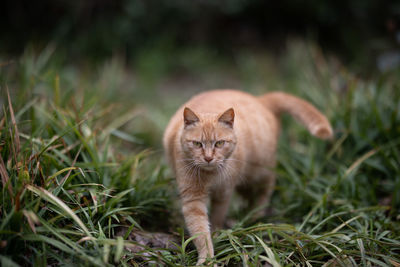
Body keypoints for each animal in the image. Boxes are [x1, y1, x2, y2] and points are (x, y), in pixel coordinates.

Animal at [161, 90, 332, 266]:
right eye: (197, 144)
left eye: (219, 143)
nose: (208, 158)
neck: (210, 176)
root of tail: (260, 99)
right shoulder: (193, 199)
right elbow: (200, 231)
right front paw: (206, 257)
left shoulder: (224, 192)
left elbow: (217, 216)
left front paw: (216, 233)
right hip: (246, 183)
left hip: (261, 172)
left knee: (267, 188)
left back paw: (256, 214)